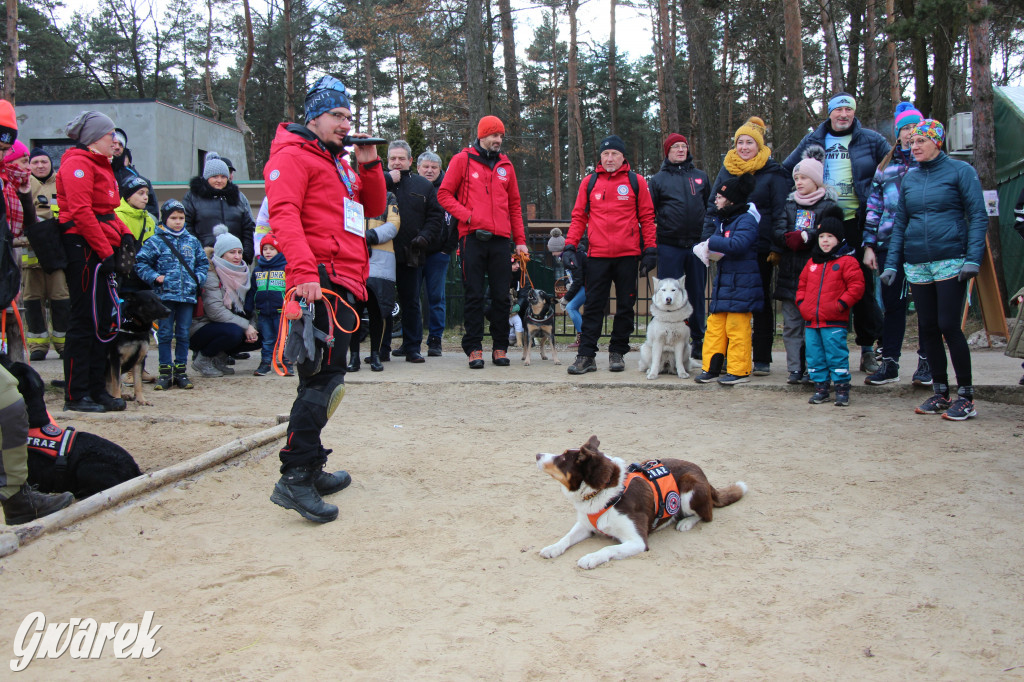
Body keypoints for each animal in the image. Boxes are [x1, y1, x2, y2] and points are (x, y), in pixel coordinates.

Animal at [536, 432, 745, 565]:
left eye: (562, 459)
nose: (537, 454)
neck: (606, 493)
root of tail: (705, 477)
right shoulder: (585, 525)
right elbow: (566, 537)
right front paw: (553, 548)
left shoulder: (637, 541)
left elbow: (608, 549)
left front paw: (590, 558)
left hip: (689, 488)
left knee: (706, 514)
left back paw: (685, 522)